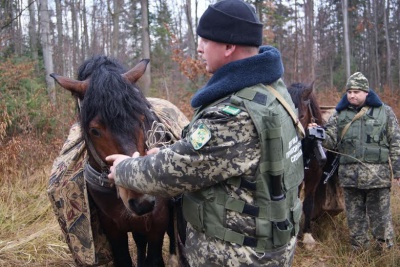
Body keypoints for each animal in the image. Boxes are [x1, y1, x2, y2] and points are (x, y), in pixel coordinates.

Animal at [49, 57, 185, 266]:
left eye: (142, 117)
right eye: (94, 130)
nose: (142, 201)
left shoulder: (158, 222)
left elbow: (154, 258)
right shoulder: (113, 229)